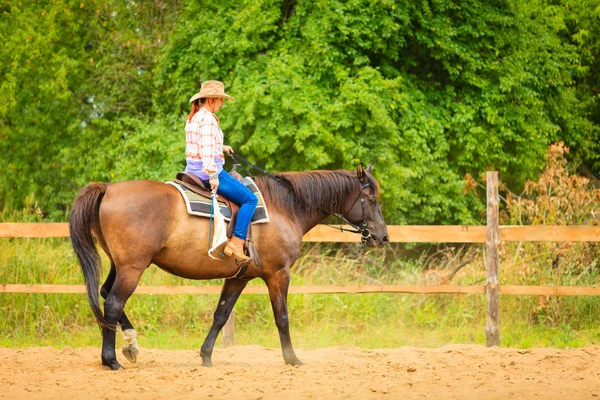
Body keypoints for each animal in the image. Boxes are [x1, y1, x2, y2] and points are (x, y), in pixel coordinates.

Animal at [69, 162, 390, 368]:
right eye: (371, 198)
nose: (383, 237)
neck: (284, 208)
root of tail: (108, 188)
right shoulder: (278, 274)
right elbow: (282, 317)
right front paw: (292, 359)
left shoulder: (238, 277)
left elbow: (221, 315)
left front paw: (206, 356)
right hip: (132, 268)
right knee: (112, 303)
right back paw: (111, 360)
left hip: (120, 265)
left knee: (105, 295)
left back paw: (131, 345)